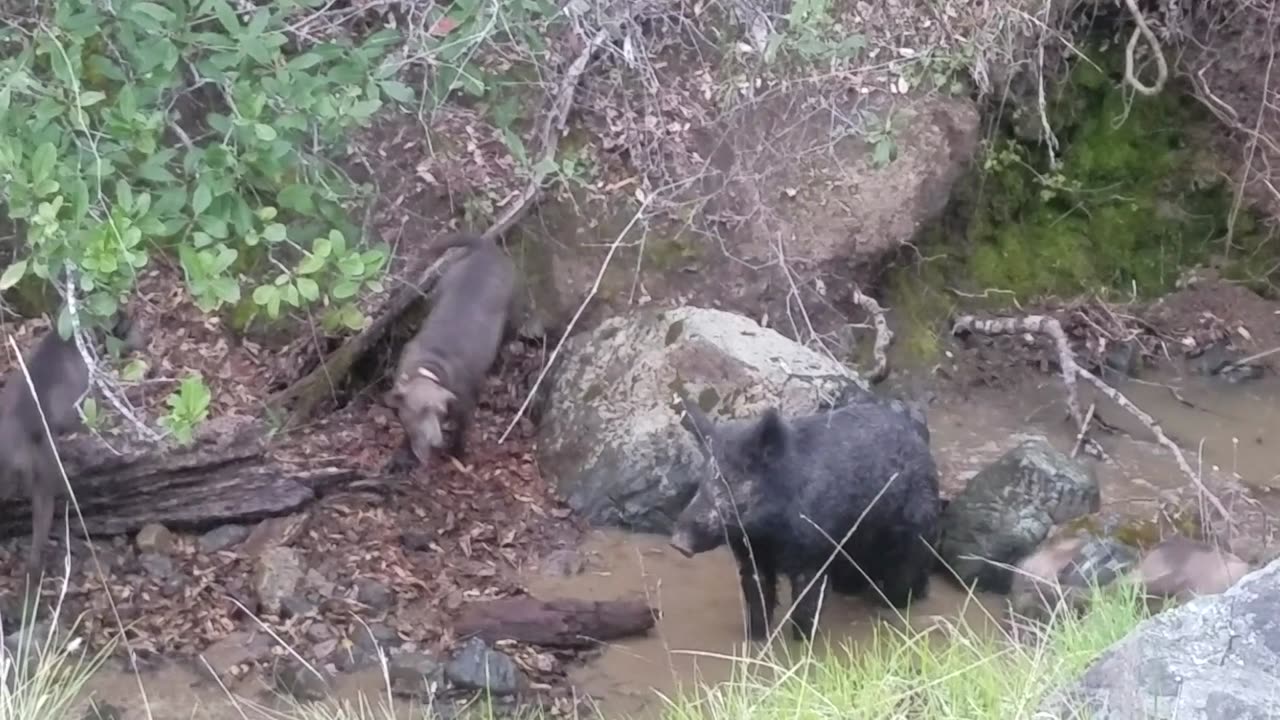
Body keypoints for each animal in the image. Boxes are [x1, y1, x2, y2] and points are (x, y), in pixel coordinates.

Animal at [384, 233, 514, 468]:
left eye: (441, 412)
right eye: (420, 411)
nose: (436, 442)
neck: (428, 368)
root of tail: (487, 247)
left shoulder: (465, 406)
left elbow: (461, 432)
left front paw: (457, 453)